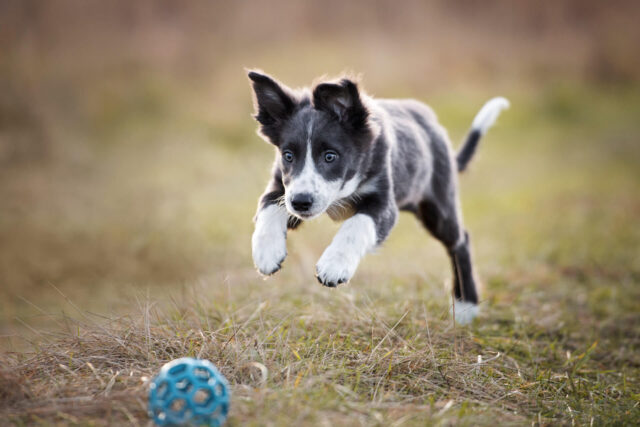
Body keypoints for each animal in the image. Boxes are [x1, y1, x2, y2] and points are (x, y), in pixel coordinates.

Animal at [248, 71, 508, 324]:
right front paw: (267, 252)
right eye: (288, 155)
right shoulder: (282, 189)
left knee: (461, 242)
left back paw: (466, 305)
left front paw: (334, 264)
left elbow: (357, 225)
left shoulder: (384, 204)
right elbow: (268, 207)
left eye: (330, 156)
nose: (301, 202)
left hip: (438, 207)